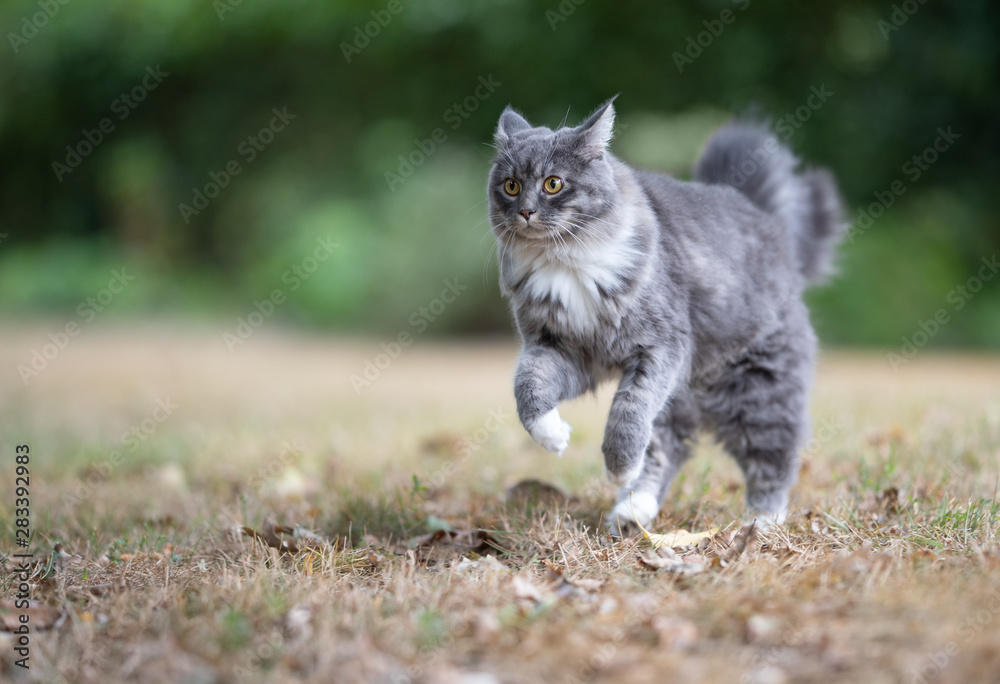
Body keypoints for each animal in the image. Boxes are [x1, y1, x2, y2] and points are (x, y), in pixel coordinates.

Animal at [486, 96, 844, 536]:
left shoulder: (660, 348)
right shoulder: (562, 350)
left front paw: (620, 466)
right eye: (511, 186)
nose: (525, 212)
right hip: (681, 401)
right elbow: (528, 386)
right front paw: (552, 435)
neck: (565, 264)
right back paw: (632, 511)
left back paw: (762, 523)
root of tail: (757, 209)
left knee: (772, 461)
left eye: (553, 183)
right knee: (664, 451)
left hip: (760, 392)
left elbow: (629, 409)